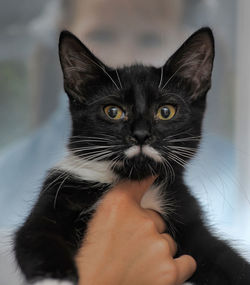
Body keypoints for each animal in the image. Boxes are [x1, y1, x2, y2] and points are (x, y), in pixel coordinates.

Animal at [14, 27, 250, 284]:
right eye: (113, 111)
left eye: (166, 111)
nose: (141, 135)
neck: (136, 181)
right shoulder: (59, 192)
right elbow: (36, 236)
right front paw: (55, 278)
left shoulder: (187, 217)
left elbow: (227, 261)